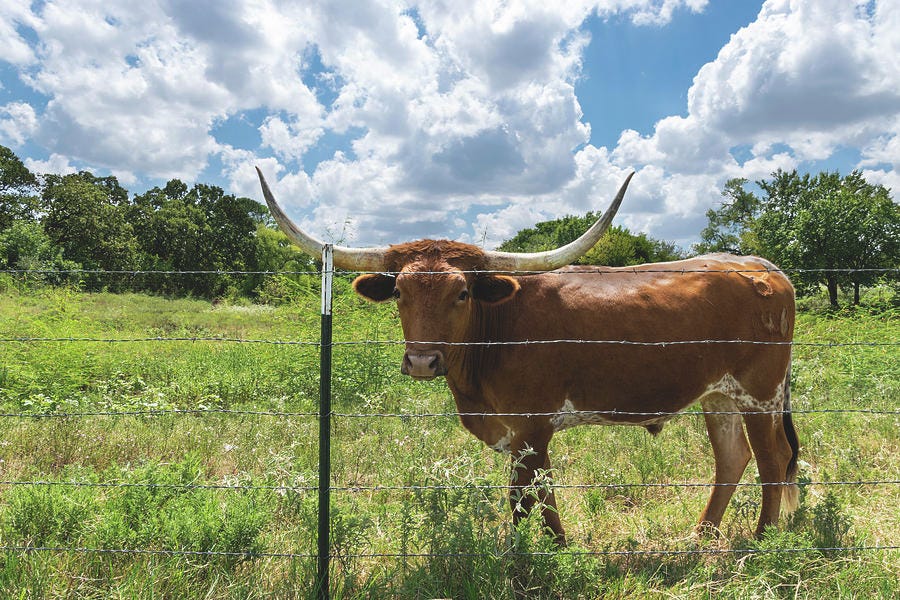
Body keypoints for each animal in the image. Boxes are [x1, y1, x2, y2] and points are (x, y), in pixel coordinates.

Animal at [256, 168, 800, 545]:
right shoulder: (517, 431)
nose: (423, 363)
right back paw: (701, 535)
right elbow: (541, 492)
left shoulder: (532, 426)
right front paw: (552, 549)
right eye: (401, 294)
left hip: (761, 393)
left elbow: (525, 495)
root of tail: (763, 266)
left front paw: (529, 553)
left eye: (461, 293)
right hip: (719, 395)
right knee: (733, 458)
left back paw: (762, 539)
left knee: (772, 459)